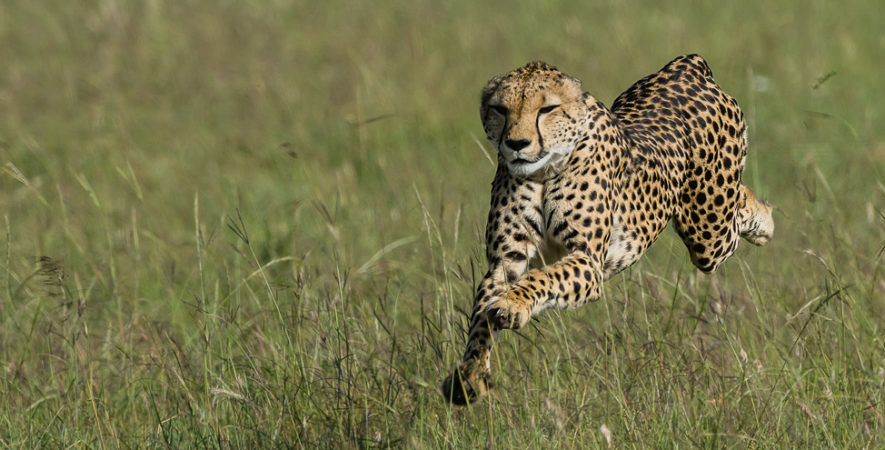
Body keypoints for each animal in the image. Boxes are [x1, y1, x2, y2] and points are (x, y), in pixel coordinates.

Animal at [442, 55, 772, 404]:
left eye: (547, 109)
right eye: (500, 109)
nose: (516, 144)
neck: (546, 169)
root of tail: (685, 65)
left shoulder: (588, 262)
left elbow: (543, 278)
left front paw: (512, 304)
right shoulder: (504, 263)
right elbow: (480, 317)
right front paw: (470, 376)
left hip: (708, 233)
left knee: (739, 203)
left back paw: (765, 224)